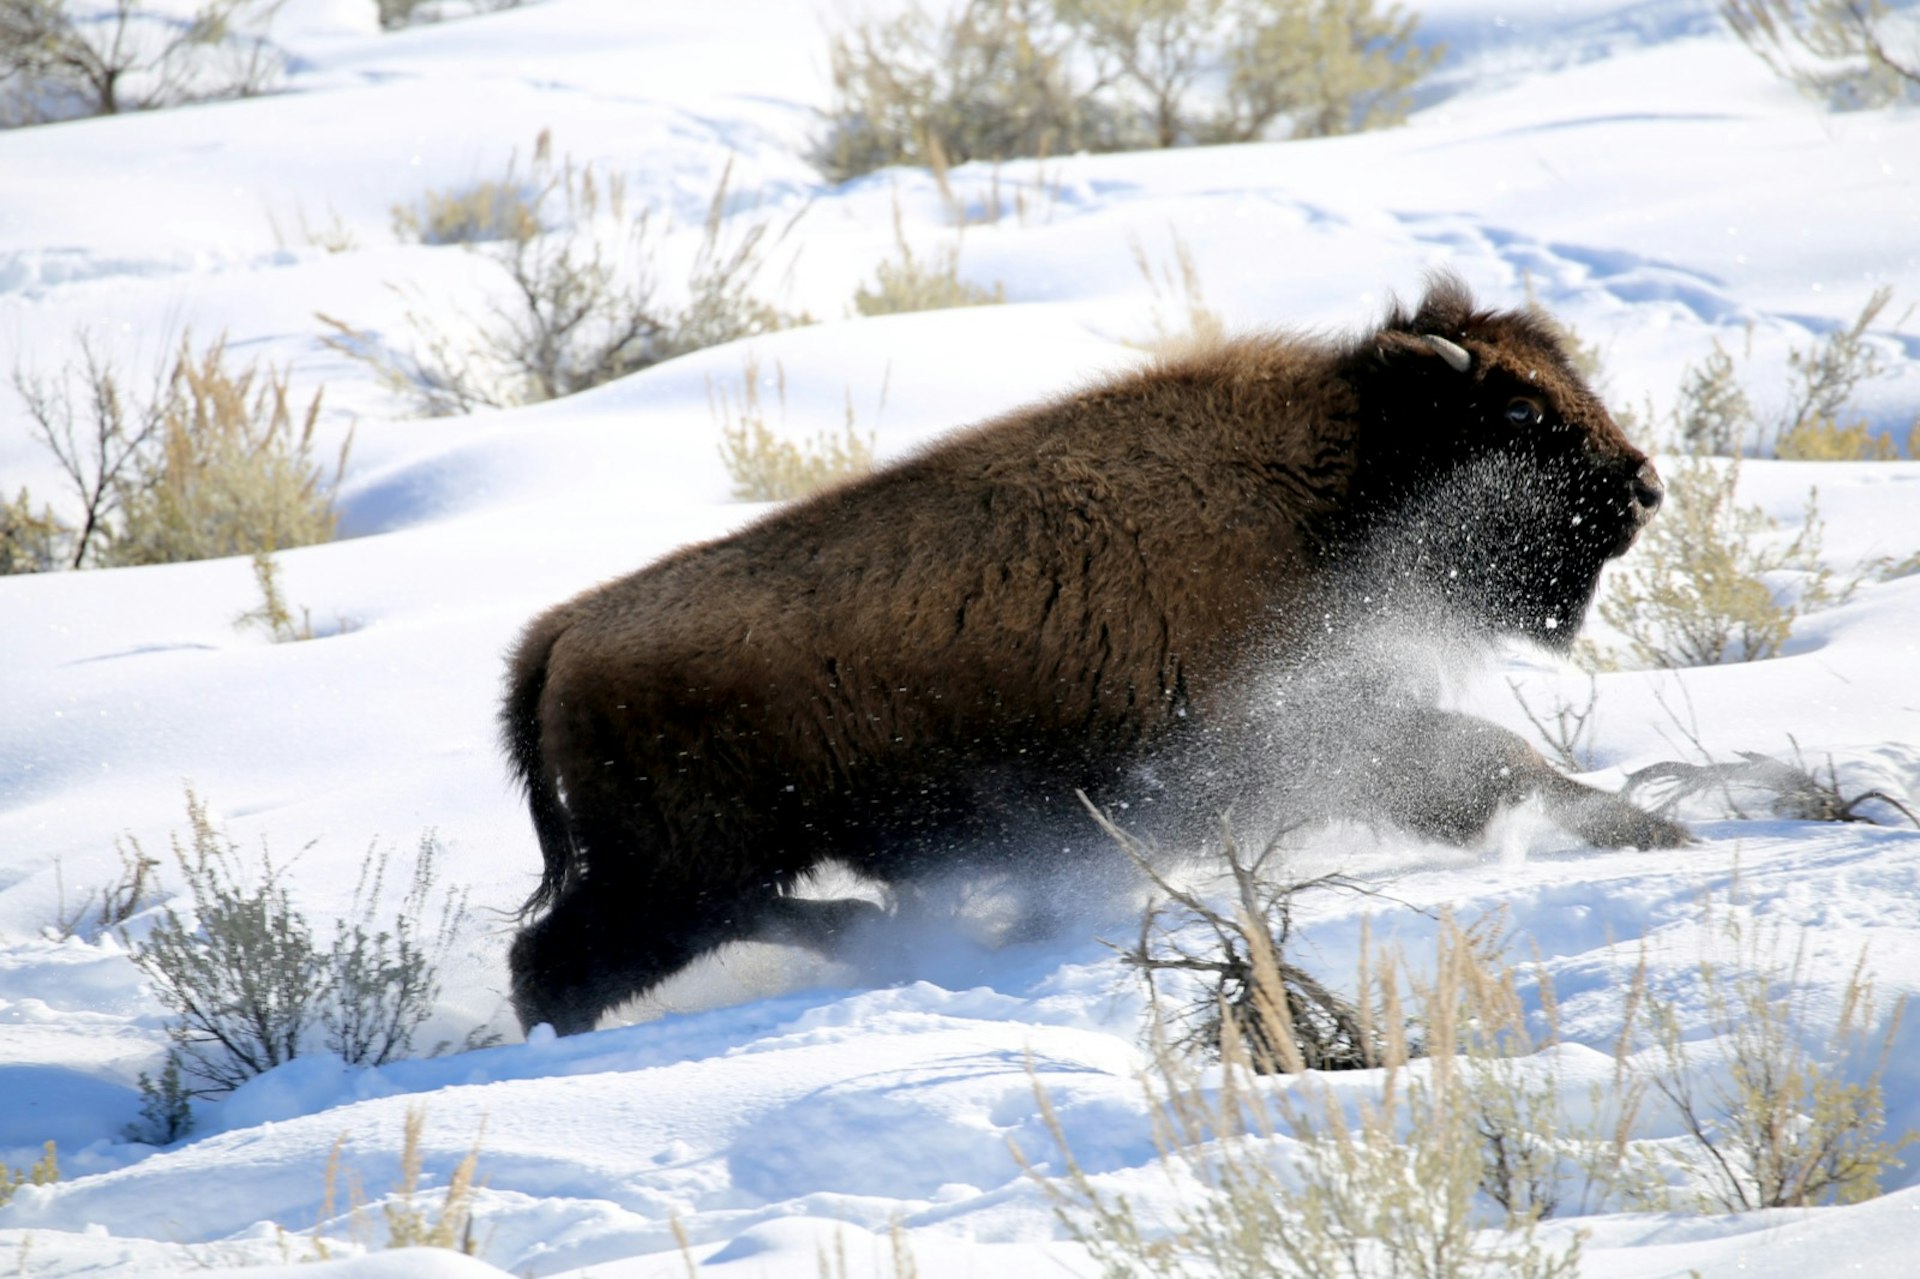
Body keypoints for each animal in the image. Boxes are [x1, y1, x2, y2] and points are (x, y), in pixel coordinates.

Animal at [503, 274, 1689, 1029]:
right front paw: (1664, 829)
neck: (1340, 474)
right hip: (672, 876)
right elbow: (1499, 762)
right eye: (1519, 410)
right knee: (559, 965)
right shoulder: (1322, 729)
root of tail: (564, 631)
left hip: (702, 869)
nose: (1644, 484)